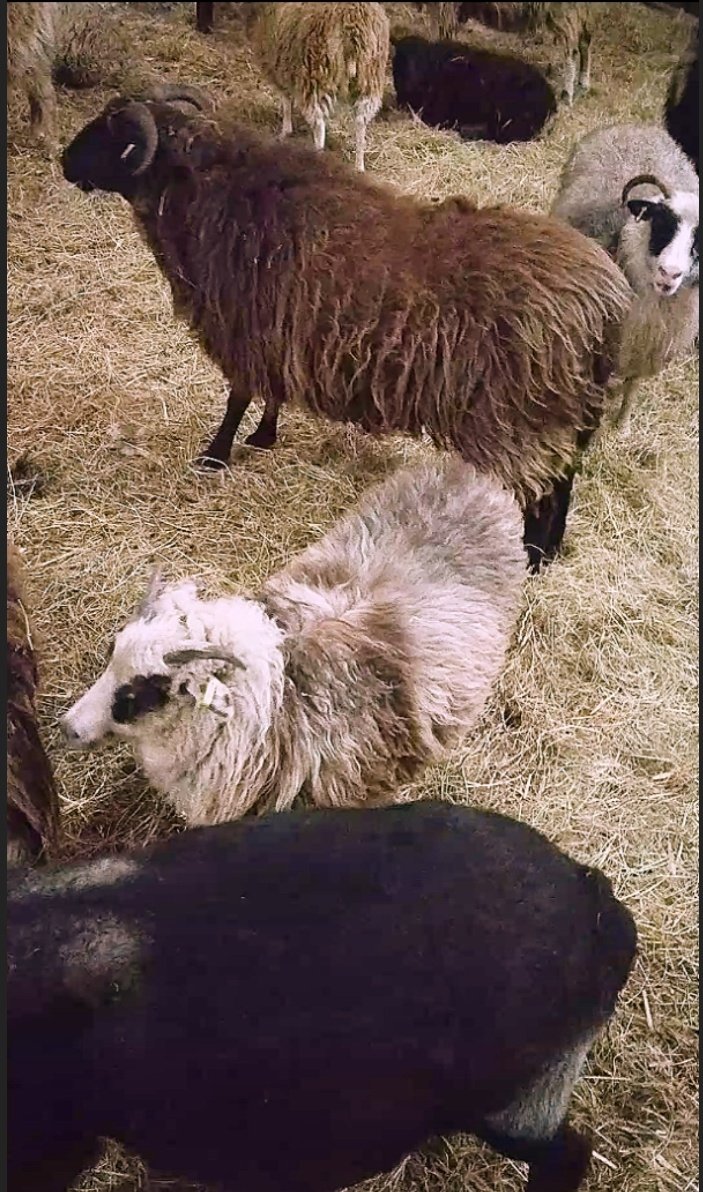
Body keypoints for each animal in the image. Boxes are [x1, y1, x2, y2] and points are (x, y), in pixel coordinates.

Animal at [61, 91, 633, 569]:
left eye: (113, 137)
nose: (64, 162)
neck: (212, 193)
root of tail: (607, 303)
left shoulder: (245, 331)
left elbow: (238, 397)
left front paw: (215, 455)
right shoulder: (278, 332)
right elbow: (272, 392)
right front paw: (264, 437)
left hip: (518, 418)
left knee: (544, 487)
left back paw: (530, 557)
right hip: (563, 412)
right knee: (564, 477)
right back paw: (546, 554)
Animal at [243, 2, 390, 172]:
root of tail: (352, 25)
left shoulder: (277, 66)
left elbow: (285, 101)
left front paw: (285, 131)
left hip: (316, 74)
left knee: (319, 124)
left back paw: (318, 159)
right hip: (370, 78)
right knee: (360, 121)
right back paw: (359, 167)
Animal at [551, 124, 699, 427]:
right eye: (662, 222)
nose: (669, 273)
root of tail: (638, 127)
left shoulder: (647, 354)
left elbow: (632, 386)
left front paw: (622, 424)